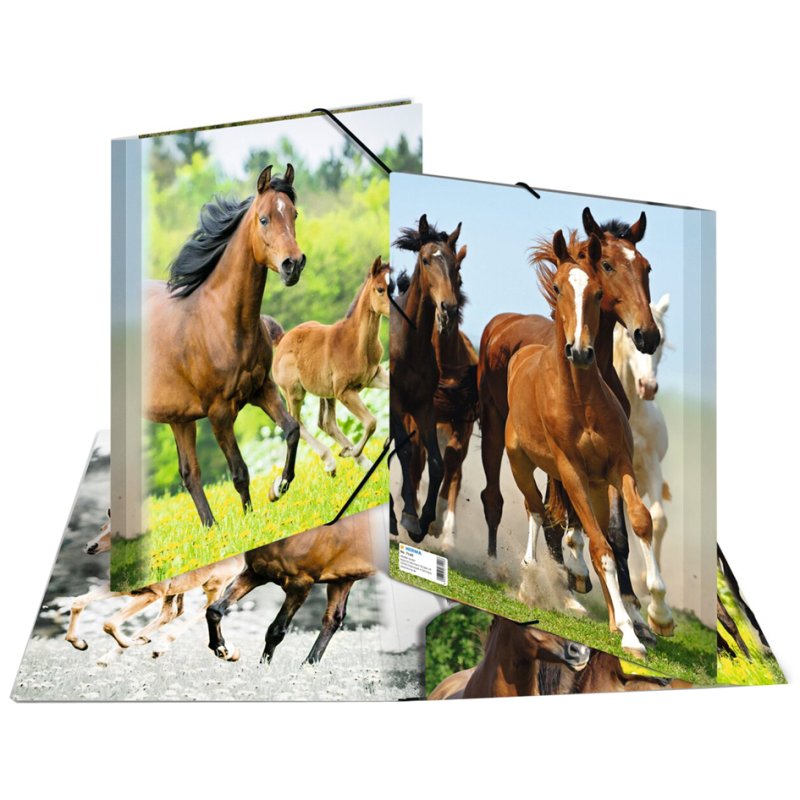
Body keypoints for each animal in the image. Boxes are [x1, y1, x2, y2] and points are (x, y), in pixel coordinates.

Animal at [66, 512, 243, 661]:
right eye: (102, 528)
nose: (91, 546)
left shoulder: (150, 594)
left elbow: (109, 624)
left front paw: (137, 641)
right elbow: (78, 602)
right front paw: (79, 643)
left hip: (214, 585)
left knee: (206, 610)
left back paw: (159, 646)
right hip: (177, 589)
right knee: (171, 613)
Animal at [144, 164, 305, 529]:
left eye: (294, 214)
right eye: (263, 219)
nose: (293, 265)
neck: (220, 321)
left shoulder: (262, 388)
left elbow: (292, 430)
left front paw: (278, 487)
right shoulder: (219, 413)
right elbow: (239, 471)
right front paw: (250, 523)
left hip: (179, 418)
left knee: (189, 474)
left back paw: (210, 528)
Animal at [206, 512, 376, 665]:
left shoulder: (300, 584)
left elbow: (276, 631)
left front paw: (262, 671)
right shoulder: (255, 573)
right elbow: (214, 610)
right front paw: (222, 649)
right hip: (343, 578)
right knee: (333, 618)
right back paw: (308, 667)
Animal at [272, 256, 390, 475]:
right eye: (380, 289)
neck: (357, 344)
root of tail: (282, 339)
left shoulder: (375, 375)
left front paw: (352, 452)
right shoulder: (344, 391)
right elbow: (371, 422)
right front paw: (352, 451)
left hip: (326, 392)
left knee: (326, 422)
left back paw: (360, 460)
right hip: (294, 393)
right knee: (297, 423)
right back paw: (331, 461)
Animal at [478, 209, 659, 637]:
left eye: (646, 267)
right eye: (607, 264)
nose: (647, 334)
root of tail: (502, 322)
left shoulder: (612, 461)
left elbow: (616, 532)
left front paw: (635, 610)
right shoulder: (568, 461)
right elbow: (564, 518)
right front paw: (576, 580)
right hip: (495, 430)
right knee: (499, 498)